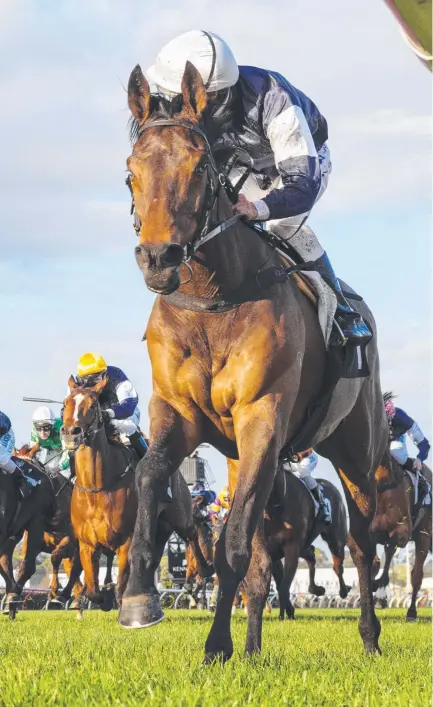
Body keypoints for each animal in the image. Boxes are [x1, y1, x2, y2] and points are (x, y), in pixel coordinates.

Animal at [61, 378, 212, 612]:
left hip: (180, 514)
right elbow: (93, 588)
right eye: (65, 403)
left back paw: (204, 570)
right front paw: (102, 597)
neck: (98, 486)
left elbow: (122, 583)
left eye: (93, 405)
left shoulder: (127, 539)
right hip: (160, 526)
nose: (71, 432)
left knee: (192, 535)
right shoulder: (87, 544)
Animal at [120, 62, 410, 664]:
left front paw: (216, 645)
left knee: (363, 544)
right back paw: (251, 645)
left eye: (198, 166)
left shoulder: (261, 417)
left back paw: (370, 637)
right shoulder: (178, 414)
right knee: (260, 559)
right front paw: (138, 598)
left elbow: (233, 545)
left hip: (356, 449)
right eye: (132, 171)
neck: (213, 300)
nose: (159, 259)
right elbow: (149, 477)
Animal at [372, 462, 430, 624]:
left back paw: (411, 612)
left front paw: (380, 596)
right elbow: (375, 562)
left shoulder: (401, 535)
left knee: (417, 576)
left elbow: (389, 552)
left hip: (424, 536)